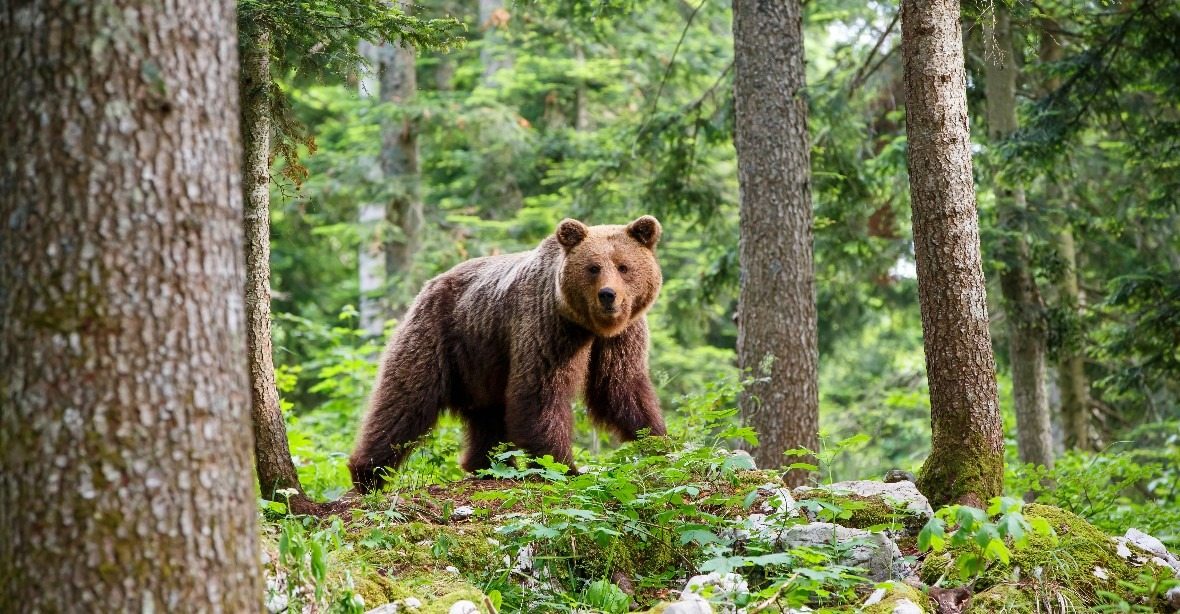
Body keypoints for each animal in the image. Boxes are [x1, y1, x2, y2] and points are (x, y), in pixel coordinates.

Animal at [344, 216, 670, 493]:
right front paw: (564, 467)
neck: (587, 326)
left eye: (623, 266)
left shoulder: (620, 336)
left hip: (481, 360)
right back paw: (368, 474)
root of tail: (431, 284)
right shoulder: (547, 325)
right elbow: (540, 390)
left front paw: (659, 443)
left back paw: (488, 466)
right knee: (405, 399)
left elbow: (620, 387)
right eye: (593, 267)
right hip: (438, 335)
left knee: (488, 416)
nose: (608, 295)